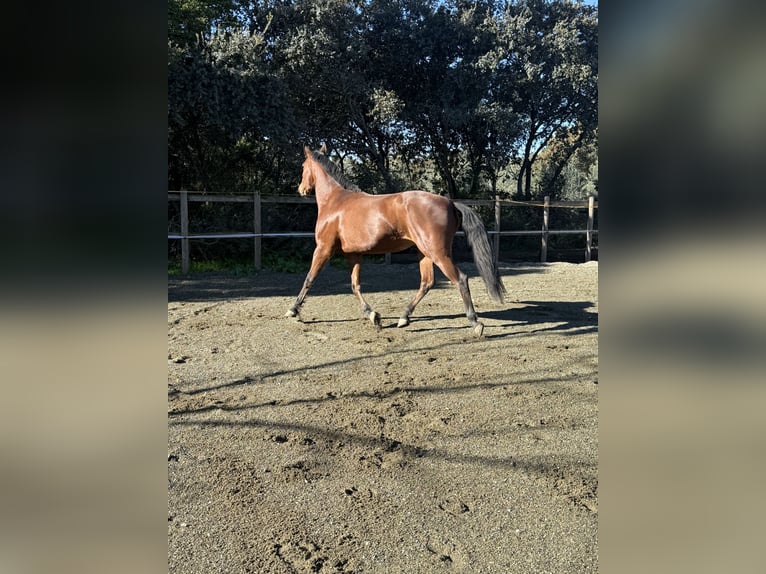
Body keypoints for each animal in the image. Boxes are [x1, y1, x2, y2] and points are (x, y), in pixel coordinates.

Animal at [284, 145, 508, 338]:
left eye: (303, 166)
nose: (301, 189)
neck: (335, 201)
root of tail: (451, 203)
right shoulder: (353, 254)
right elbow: (355, 285)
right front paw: (373, 316)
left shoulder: (323, 248)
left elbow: (309, 279)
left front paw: (293, 311)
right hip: (423, 252)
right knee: (427, 282)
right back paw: (403, 318)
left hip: (437, 252)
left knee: (460, 279)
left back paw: (475, 323)